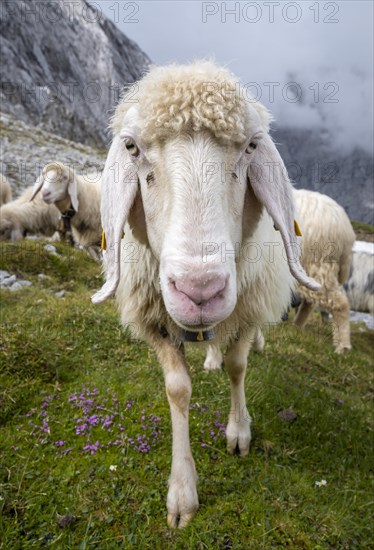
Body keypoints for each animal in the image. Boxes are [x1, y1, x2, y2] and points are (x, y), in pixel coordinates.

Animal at [91, 61, 318, 532]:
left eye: (252, 146)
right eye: (131, 147)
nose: (201, 290)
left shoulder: (247, 309)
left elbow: (238, 366)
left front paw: (238, 432)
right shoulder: (157, 322)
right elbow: (178, 390)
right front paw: (182, 493)